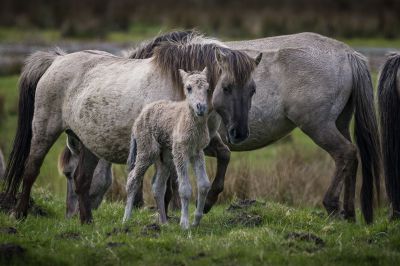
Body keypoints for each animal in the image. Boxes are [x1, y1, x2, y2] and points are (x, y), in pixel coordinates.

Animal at [123, 67, 211, 230]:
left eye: (208, 89)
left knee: (158, 187)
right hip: (146, 150)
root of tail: (139, 118)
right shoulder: (180, 150)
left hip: (165, 157)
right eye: (188, 88)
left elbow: (204, 185)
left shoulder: (197, 151)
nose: (201, 107)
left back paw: (164, 223)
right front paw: (185, 224)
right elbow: (185, 188)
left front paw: (196, 221)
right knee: (132, 178)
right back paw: (125, 219)